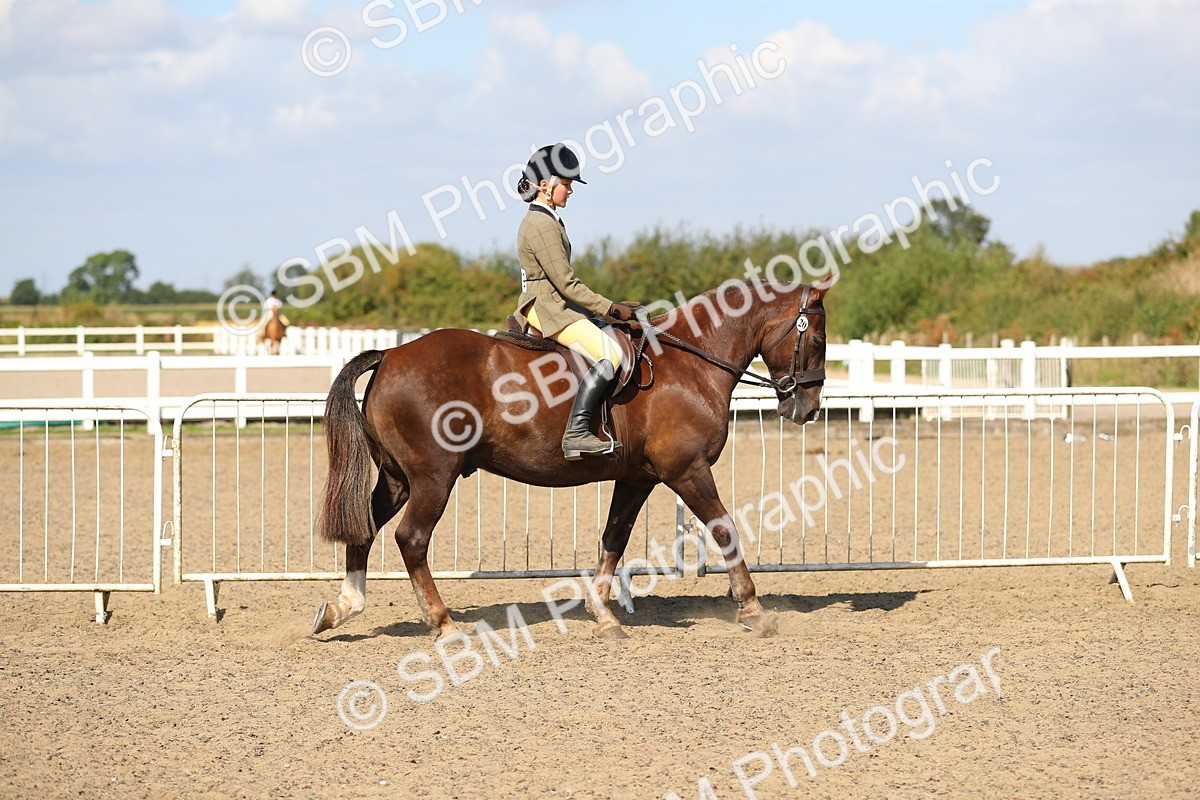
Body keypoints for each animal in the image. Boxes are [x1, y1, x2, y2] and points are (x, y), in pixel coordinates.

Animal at [311, 277, 831, 640]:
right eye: (819, 338)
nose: (806, 409)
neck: (688, 366)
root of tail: (391, 354)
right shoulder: (688, 471)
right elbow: (725, 528)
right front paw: (754, 611)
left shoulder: (638, 478)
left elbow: (614, 537)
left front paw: (603, 615)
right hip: (433, 478)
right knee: (412, 539)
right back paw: (443, 624)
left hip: (398, 478)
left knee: (366, 527)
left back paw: (341, 607)